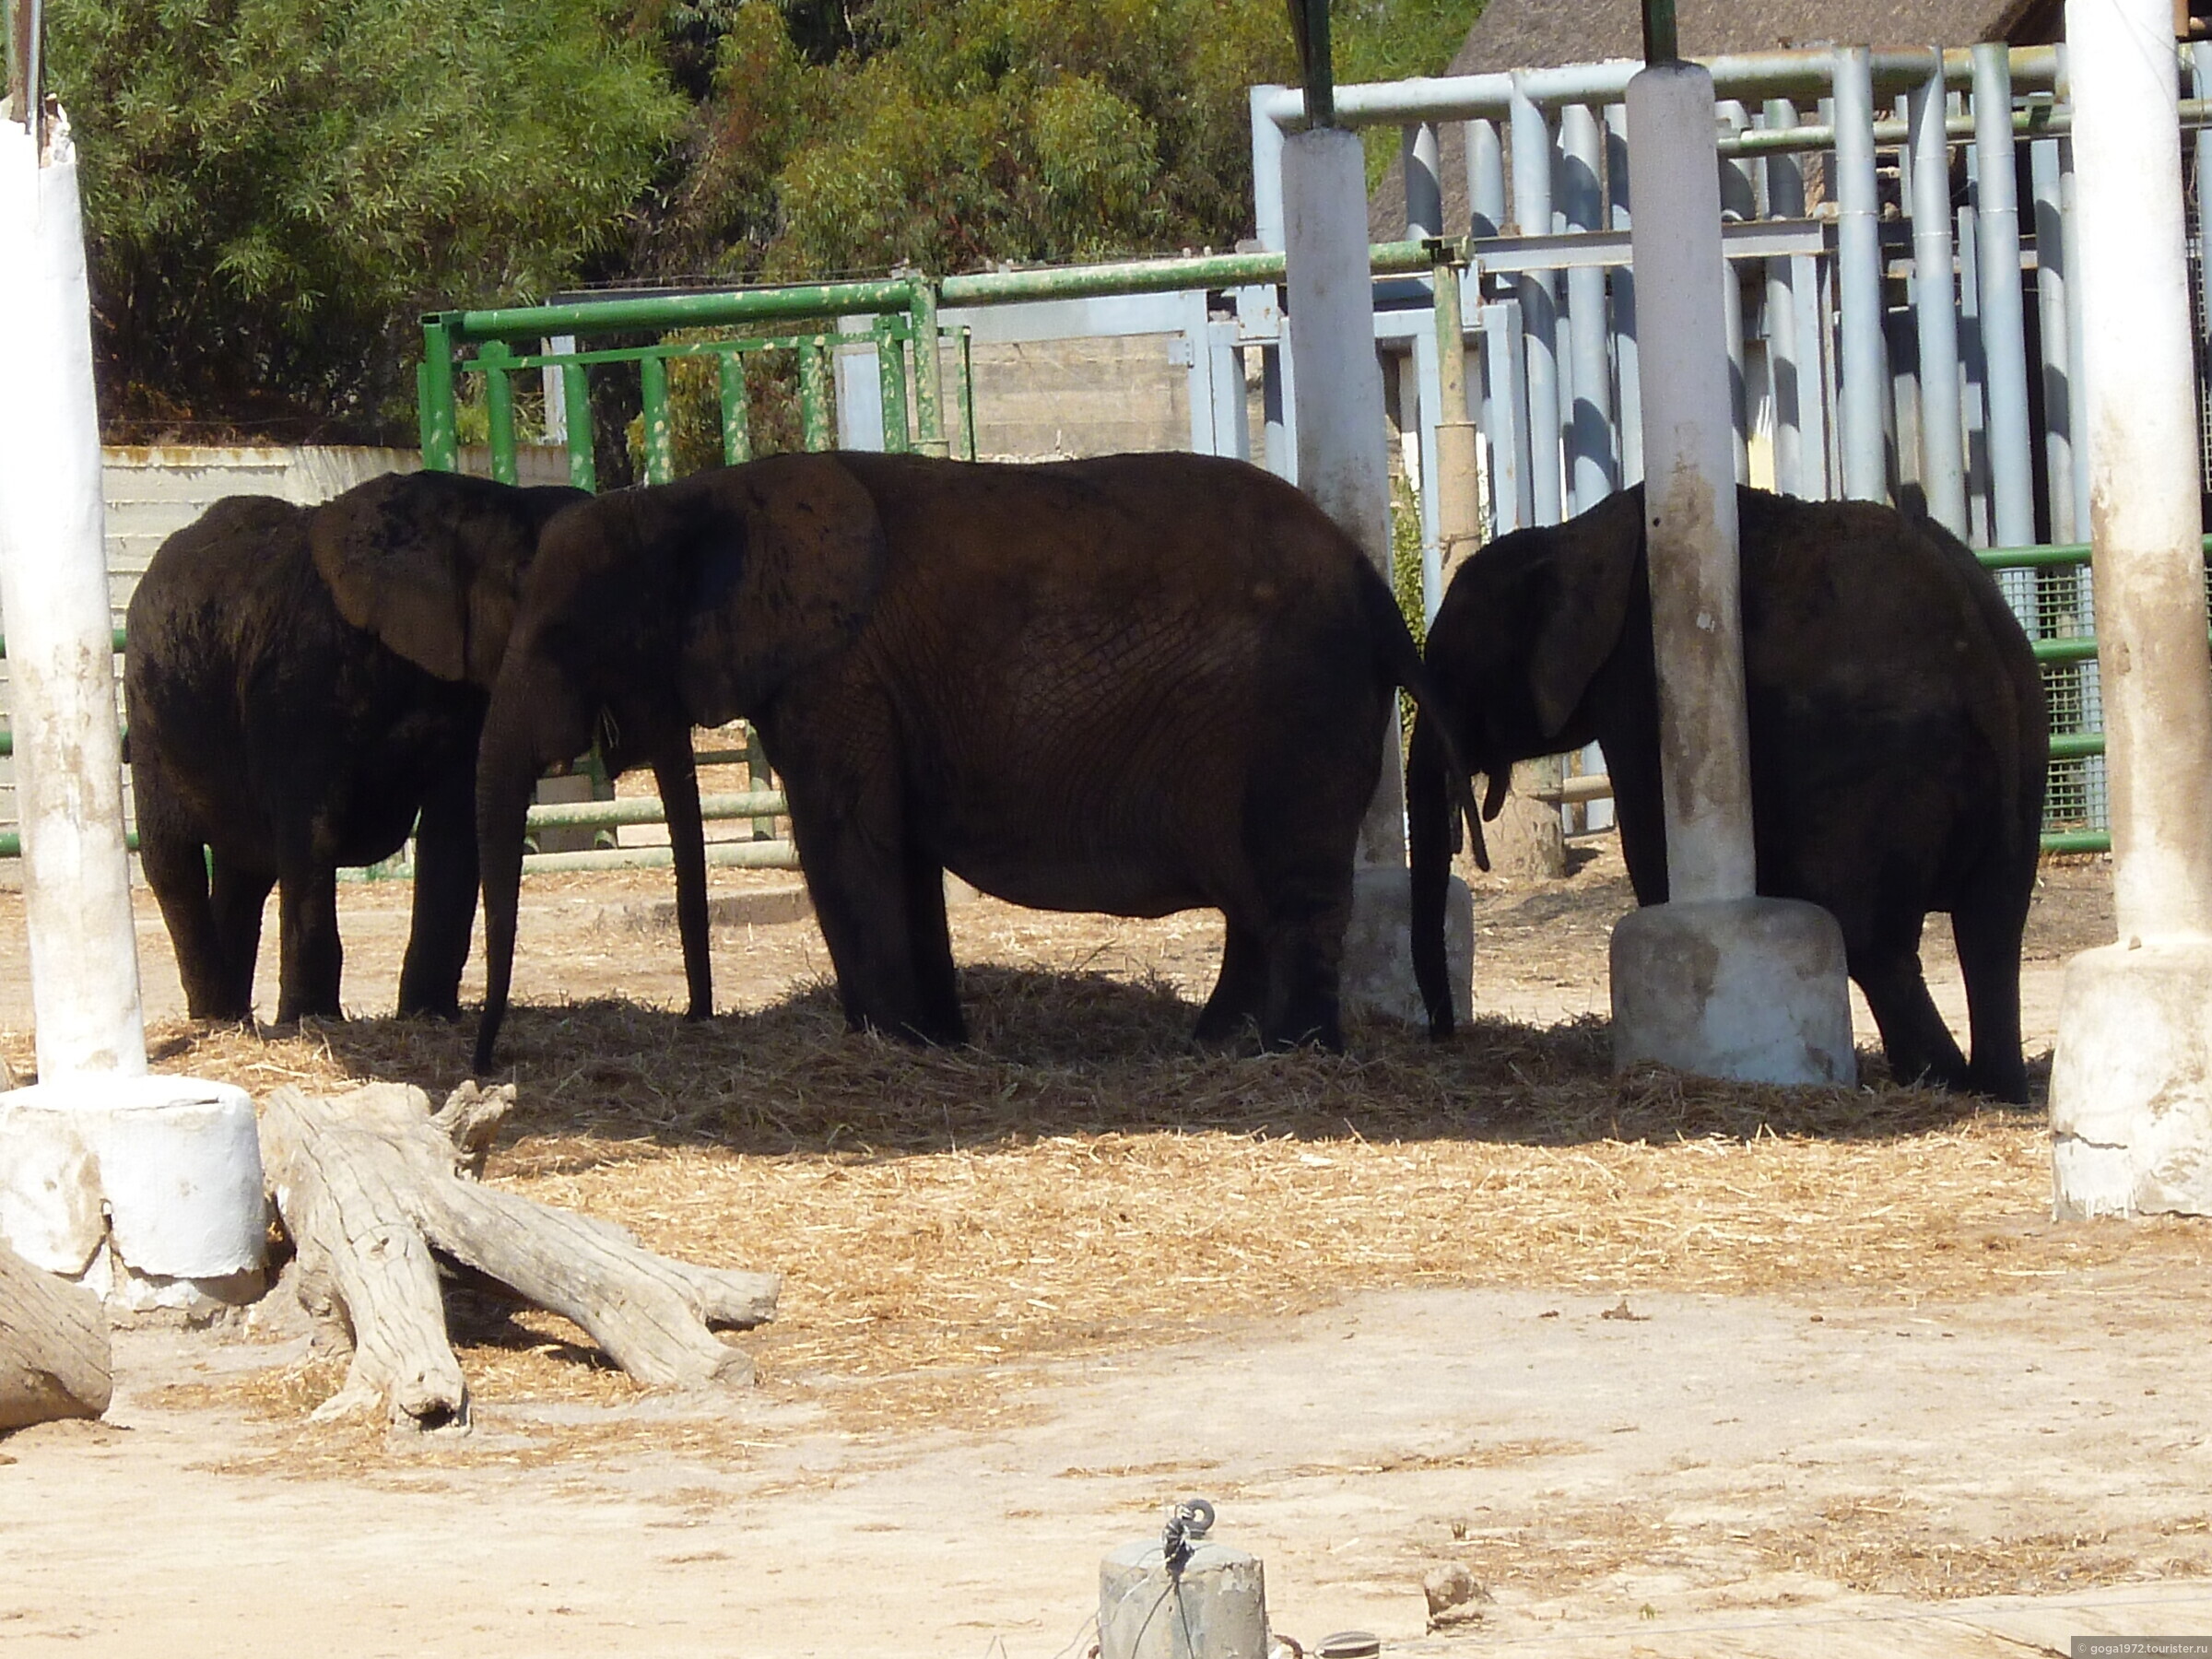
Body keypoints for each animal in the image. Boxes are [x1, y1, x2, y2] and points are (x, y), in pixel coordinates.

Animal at [123, 471, 588, 1026]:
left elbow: (454, 827)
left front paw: (428, 1017)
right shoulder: (301, 679)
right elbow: (314, 829)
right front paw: (311, 1022)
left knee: (246, 869)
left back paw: (235, 1019)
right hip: (148, 715)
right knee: (174, 860)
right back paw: (217, 1019)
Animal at [465, 449, 1468, 1070]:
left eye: (561, 636)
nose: (484, 1064)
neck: (696, 497)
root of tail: (1378, 591)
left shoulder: (836, 674)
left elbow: (846, 847)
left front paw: (891, 1047)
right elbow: (897, 856)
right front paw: (937, 1046)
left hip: (1299, 718)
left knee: (1291, 895)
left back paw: (1288, 1055)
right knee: (1253, 903)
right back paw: (1214, 1046)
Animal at [1406, 484, 2043, 1106]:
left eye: (1456, 668)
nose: (1444, 1033)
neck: (1567, 536)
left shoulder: (1634, 682)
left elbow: (1652, 852)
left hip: (1877, 769)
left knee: (1874, 942)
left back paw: (1939, 1084)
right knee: (1992, 929)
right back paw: (1995, 1091)